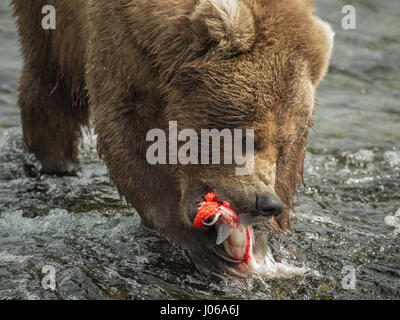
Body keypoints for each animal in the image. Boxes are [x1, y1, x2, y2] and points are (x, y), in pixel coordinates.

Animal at [11, 0, 332, 278]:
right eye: (246, 137)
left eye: (283, 147)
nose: (266, 202)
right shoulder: (122, 41)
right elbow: (128, 132)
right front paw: (201, 244)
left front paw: (273, 235)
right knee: (49, 81)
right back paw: (57, 162)